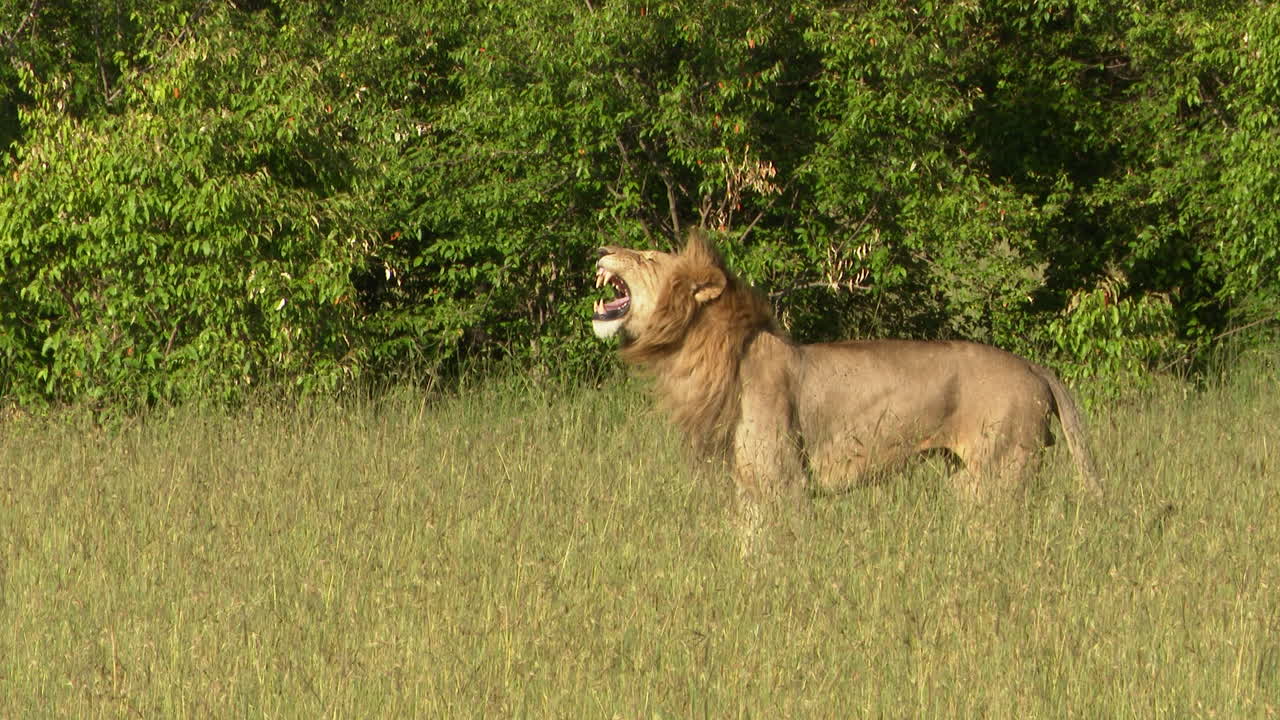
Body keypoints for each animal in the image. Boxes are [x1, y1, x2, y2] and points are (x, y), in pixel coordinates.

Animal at [591, 230, 1104, 526]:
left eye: (647, 258)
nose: (600, 250)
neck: (702, 352)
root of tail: (1034, 366)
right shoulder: (751, 487)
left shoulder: (785, 482)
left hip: (997, 474)